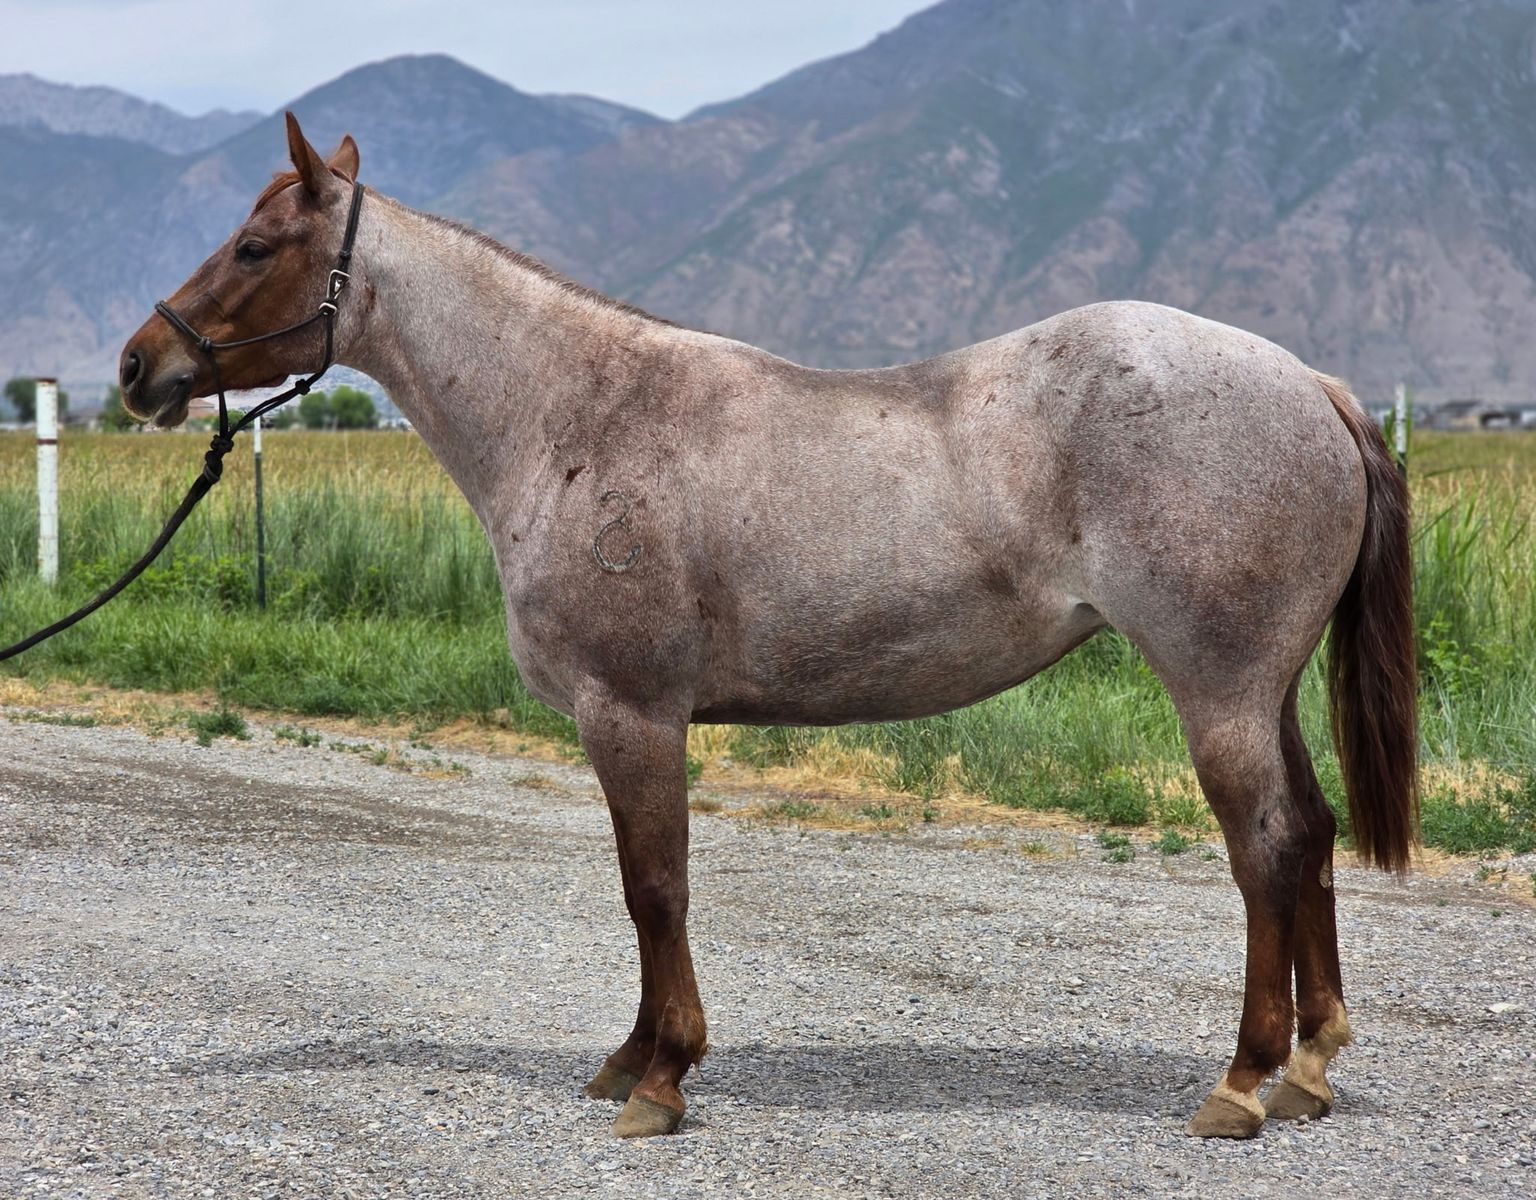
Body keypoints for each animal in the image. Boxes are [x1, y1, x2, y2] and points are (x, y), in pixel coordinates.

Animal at [118, 114, 1417, 1141]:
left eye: (255, 246)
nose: (139, 365)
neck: (576, 415)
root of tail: (1311, 385)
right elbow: (648, 892)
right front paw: (630, 1060)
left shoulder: (631, 716)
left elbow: (656, 890)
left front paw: (662, 1078)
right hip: (1262, 691)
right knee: (1309, 833)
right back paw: (1307, 1067)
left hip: (1219, 691)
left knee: (1265, 849)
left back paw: (1243, 1082)